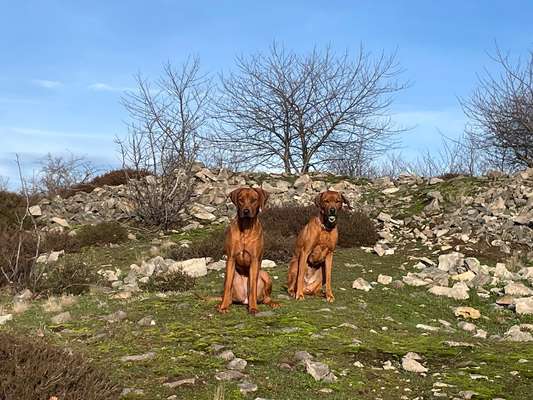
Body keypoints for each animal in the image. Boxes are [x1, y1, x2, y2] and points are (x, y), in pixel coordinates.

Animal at [216, 188, 278, 316]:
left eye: (254, 200)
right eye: (241, 200)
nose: (246, 211)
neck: (245, 228)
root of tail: (245, 300)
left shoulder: (254, 260)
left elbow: (253, 286)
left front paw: (253, 308)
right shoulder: (231, 258)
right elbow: (227, 285)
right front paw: (223, 307)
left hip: (265, 274)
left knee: (266, 297)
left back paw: (272, 303)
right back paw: (223, 304)